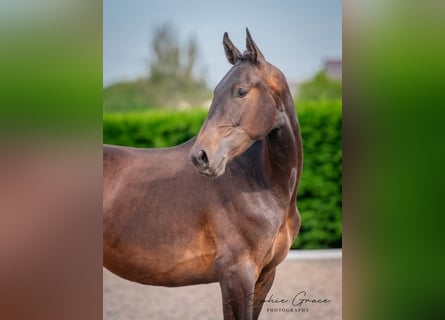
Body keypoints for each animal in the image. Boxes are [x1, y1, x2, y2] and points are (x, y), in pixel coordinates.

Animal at [103, 28, 304, 318]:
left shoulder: (265, 276)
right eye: (215, 90)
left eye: (241, 91)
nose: (201, 157)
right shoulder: (236, 276)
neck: (263, 184)